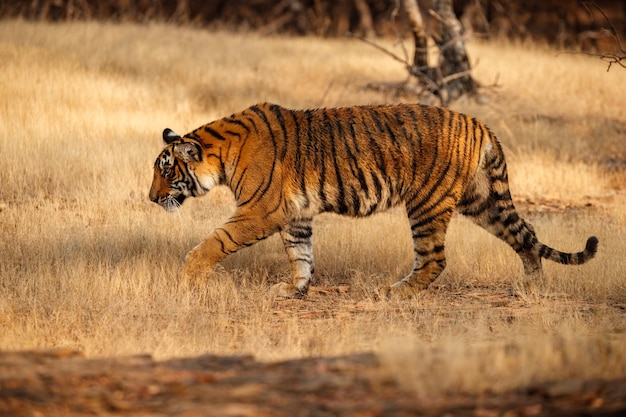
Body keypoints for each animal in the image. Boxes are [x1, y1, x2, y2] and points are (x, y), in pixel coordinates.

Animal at [147, 103, 596, 300]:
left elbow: (213, 242)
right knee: (526, 235)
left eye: (166, 170)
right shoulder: (295, 214)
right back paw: (533, 287)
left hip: (427, 203)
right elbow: (301, 254)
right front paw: (294, 289)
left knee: (435, 258)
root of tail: (479, 123)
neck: (220, 154)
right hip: (484, 201)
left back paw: (395, 292)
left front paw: (187, 279)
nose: (151, 198)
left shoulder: (260, 211)